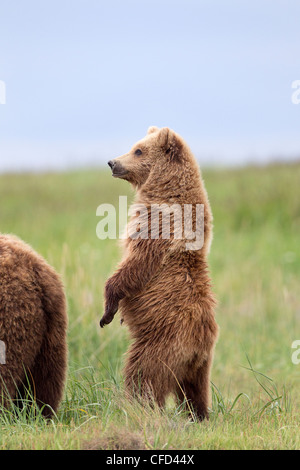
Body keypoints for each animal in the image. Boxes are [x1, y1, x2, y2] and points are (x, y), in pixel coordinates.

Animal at [99, 126, 219, 420]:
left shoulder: (158, 226)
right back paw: (199, 415)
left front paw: (108, 311)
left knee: (142, 374)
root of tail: (197, 347)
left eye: (138, 150)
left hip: (160, 343)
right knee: (195, 392)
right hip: (201, 367)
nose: (112, 162)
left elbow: (136, 265)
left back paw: (134, 406)